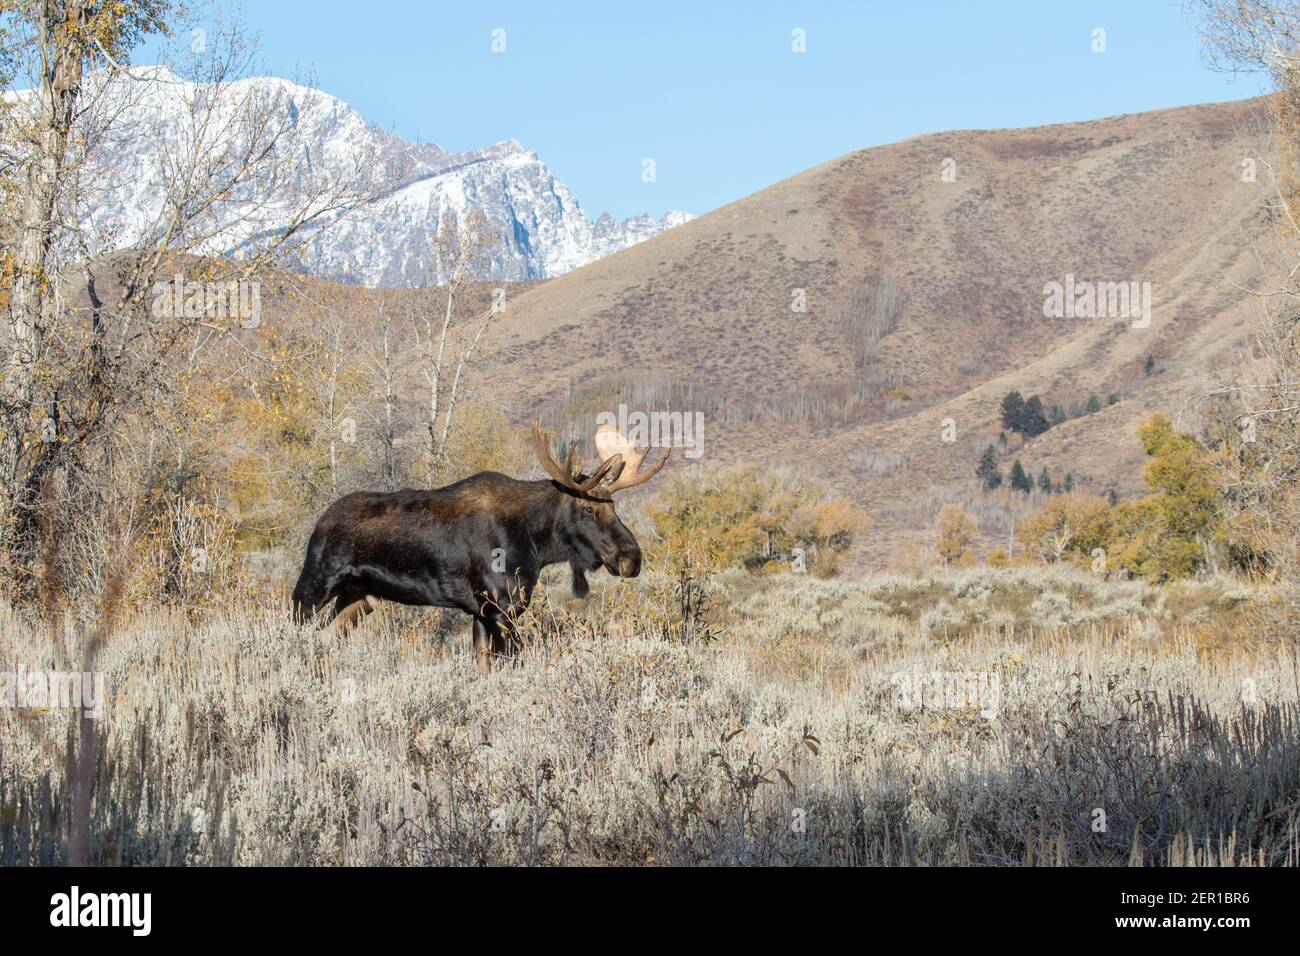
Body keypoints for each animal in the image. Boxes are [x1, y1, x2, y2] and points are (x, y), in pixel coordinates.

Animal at [292, 418, 670, 671]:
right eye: (589, 508)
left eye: (614, 507)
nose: (631, 559)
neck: (535, 543)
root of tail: (320, 521)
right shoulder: (499, 607)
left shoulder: (481, 611)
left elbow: (484, 666)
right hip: (313, 586)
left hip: (360, 597)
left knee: (326, 638)